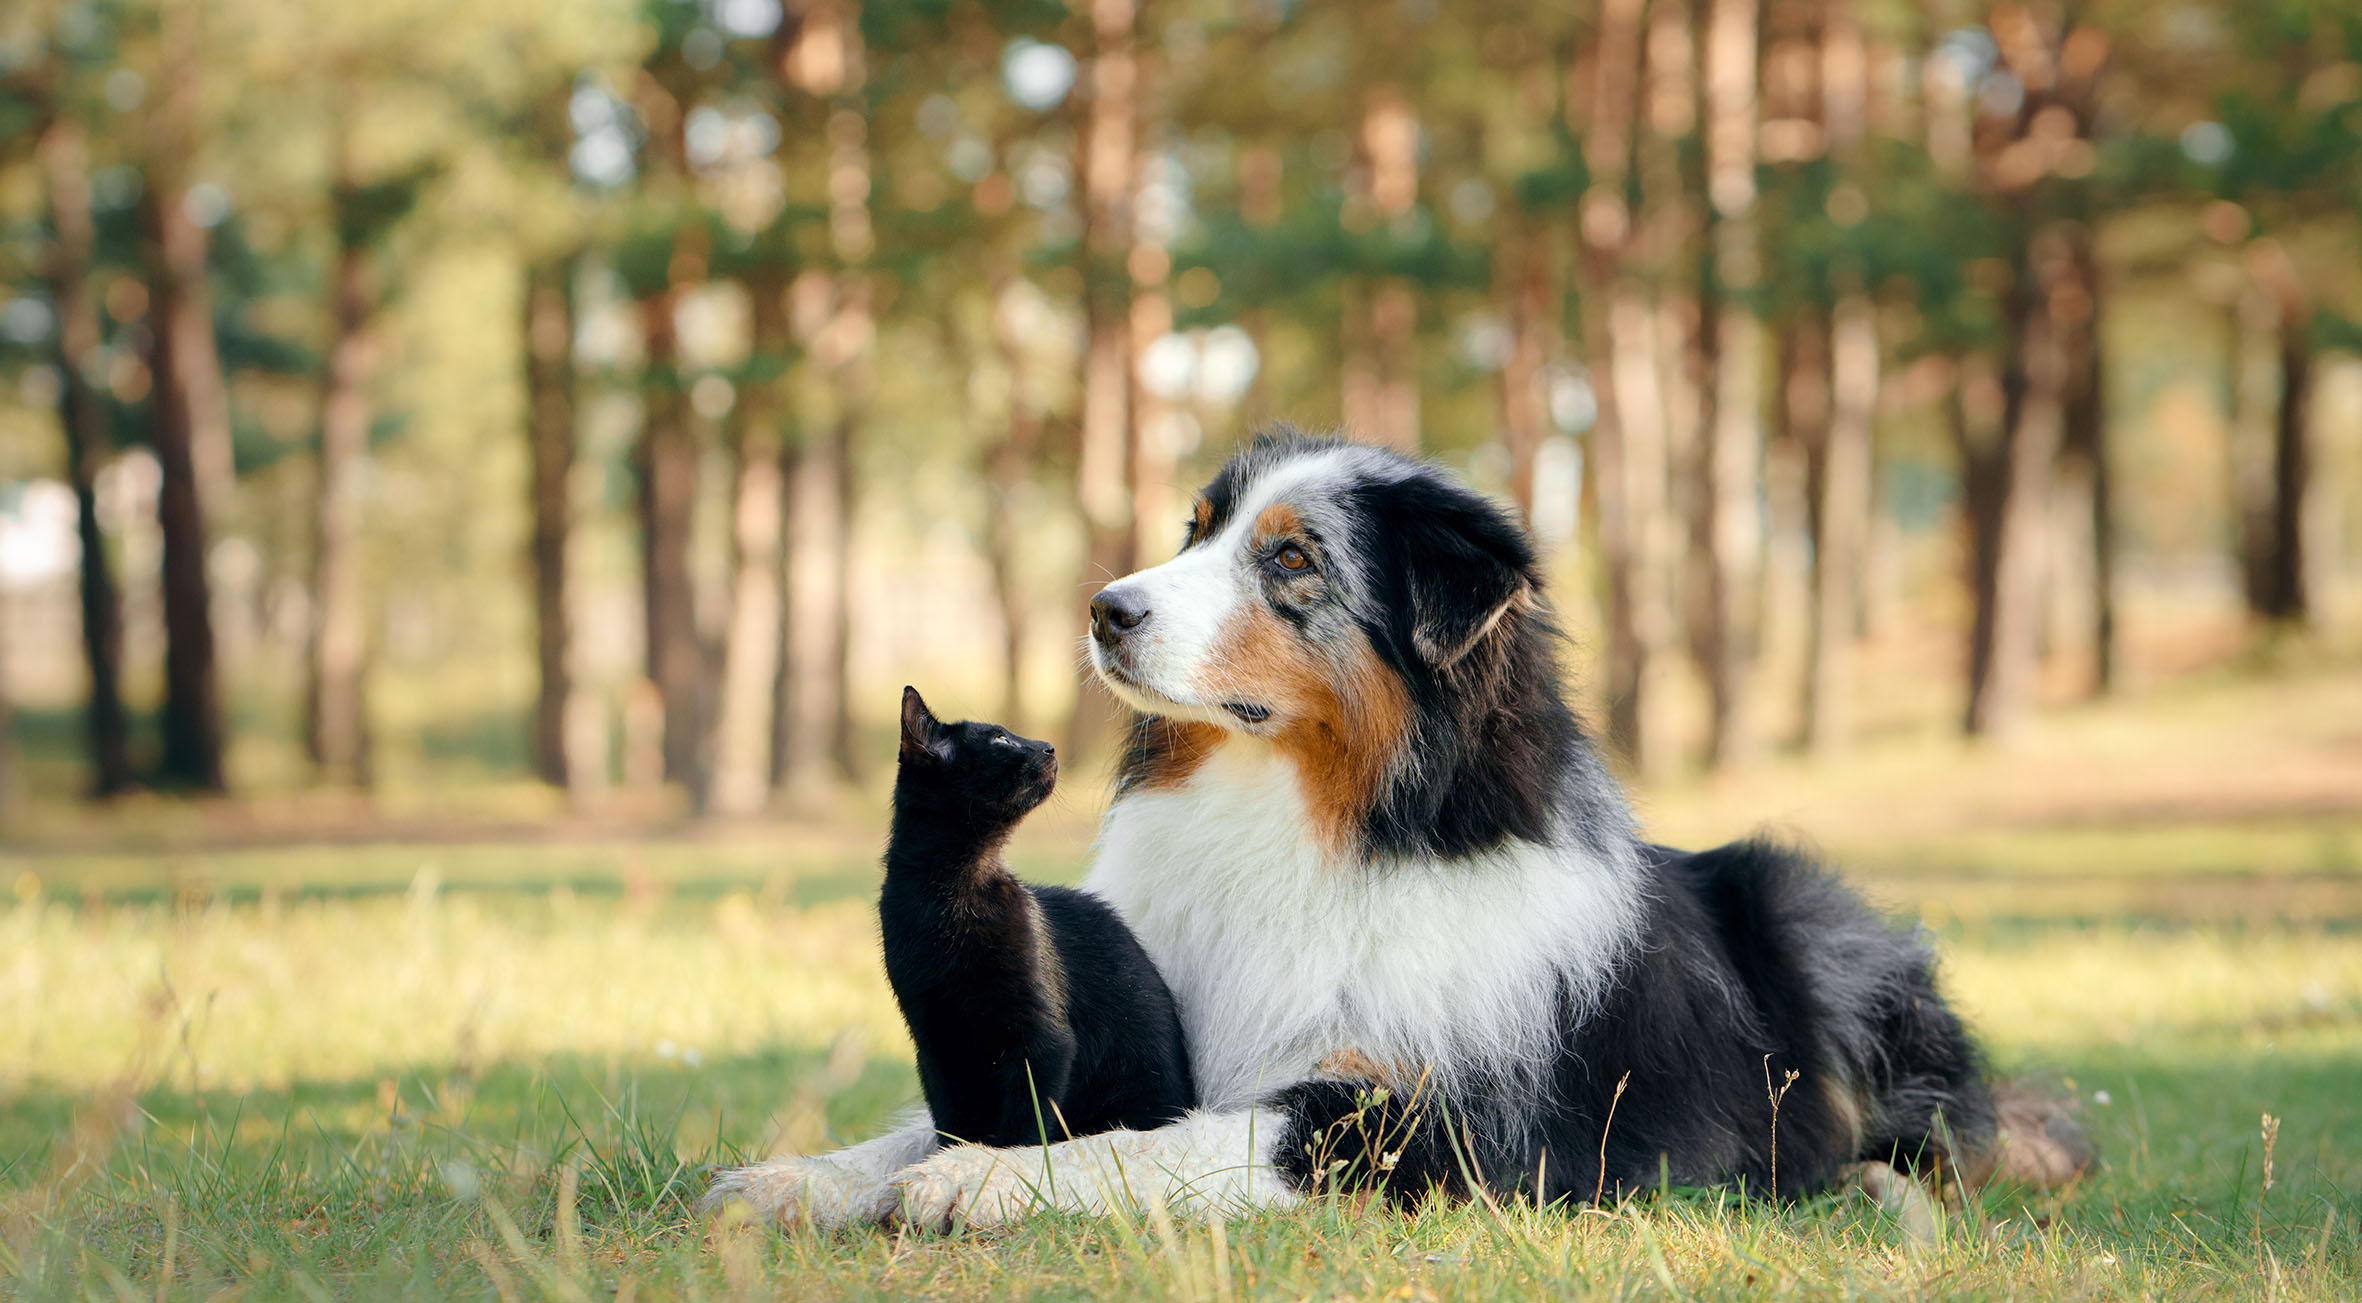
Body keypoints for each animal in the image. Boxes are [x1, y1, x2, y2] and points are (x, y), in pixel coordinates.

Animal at [883, 689, 1199, 1147]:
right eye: (999, 739)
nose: (1047, 746)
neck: (952, 894)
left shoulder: (1043, 1041)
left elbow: (1025, 1126)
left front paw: (1004, 1161)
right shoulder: (936, 1045)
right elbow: (953, 1123)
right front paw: (957, 1154)